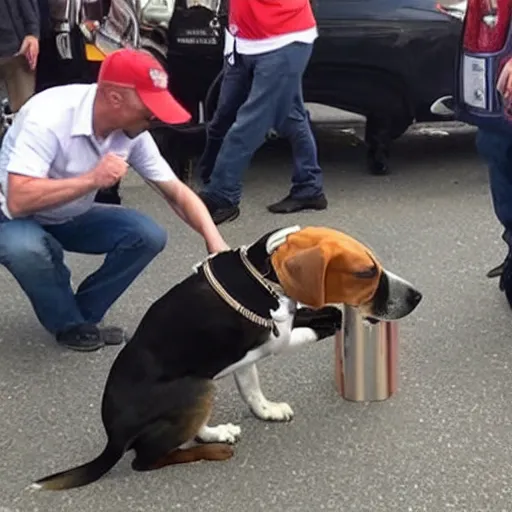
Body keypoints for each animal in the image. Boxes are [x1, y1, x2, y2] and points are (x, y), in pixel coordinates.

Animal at [33, 226, 424, 490]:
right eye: (365, 272)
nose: (417, 296)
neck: (264, 272)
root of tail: (113, 438)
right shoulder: (276, 338)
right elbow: (310, 327)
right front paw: (334, 320)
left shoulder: (251, 352)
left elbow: (252, 388)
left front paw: (267, 410)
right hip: (196, 387)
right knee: (145, 460)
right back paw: (212, 450)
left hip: (202, 384)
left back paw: (217, 433)